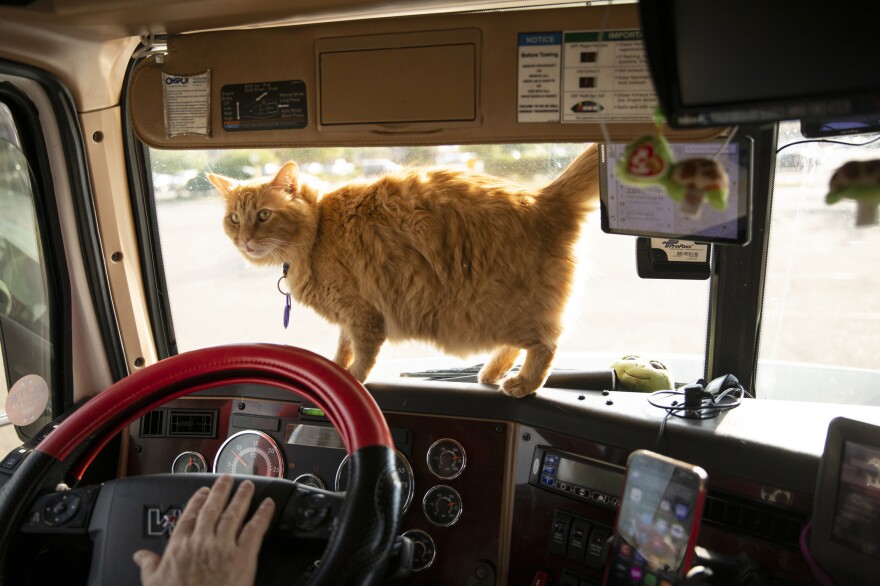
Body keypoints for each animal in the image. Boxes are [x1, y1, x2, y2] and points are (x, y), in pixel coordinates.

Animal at [210, 144, 600, 394]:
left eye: (263, 215)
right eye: (234, 219)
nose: (244, 240)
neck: (318, 230)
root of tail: (543, 198)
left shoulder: (363, 314)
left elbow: (362, 356)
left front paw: (351, 382)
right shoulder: (349, 316)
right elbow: (342, 348)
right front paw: (333, 373)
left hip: (501, 309)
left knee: (547, 343)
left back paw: (522, 382)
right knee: (518, 347)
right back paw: (490, 374)